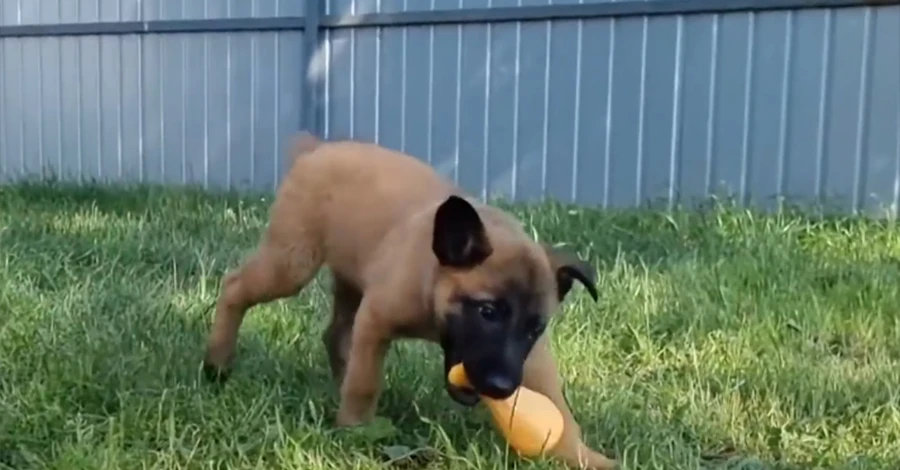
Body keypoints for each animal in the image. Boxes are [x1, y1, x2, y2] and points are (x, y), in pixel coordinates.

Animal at [200, 132, 616, 470]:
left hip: (351, 278)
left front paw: (582, 455)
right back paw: (217, 363)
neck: (432, 288)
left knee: (335, 334)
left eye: (535, 328)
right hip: (292, 263)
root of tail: (316, 149)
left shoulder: (533, 360)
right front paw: (355, 431)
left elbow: (557, 406)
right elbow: (365, 382)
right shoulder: (376, 321)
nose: (501, 387)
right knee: (235, 287)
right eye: (487, 312)